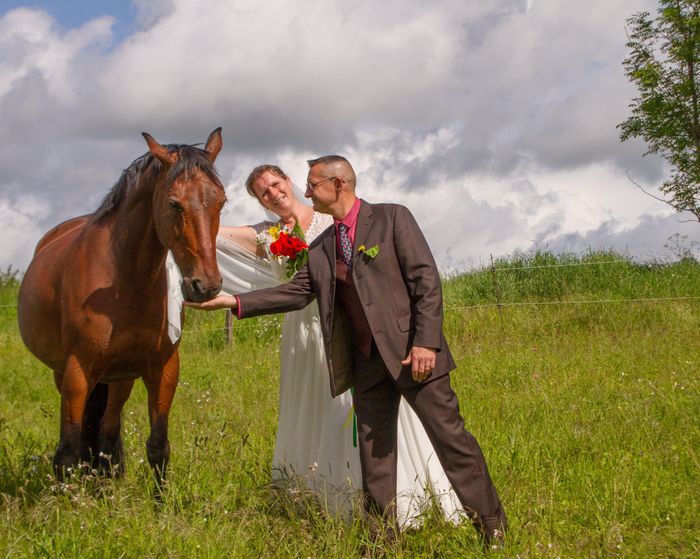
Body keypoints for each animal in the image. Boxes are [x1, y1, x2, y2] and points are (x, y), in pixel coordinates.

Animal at [18, 129, 227, 484]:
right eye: (174, 203)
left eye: (221, 201)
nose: (206, 285)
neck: (125, 283)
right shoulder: (78, 371)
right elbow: (68, 451)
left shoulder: (163, 369)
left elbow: (158, 446)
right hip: (67, 373)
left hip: (119, 379)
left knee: (105, 434)